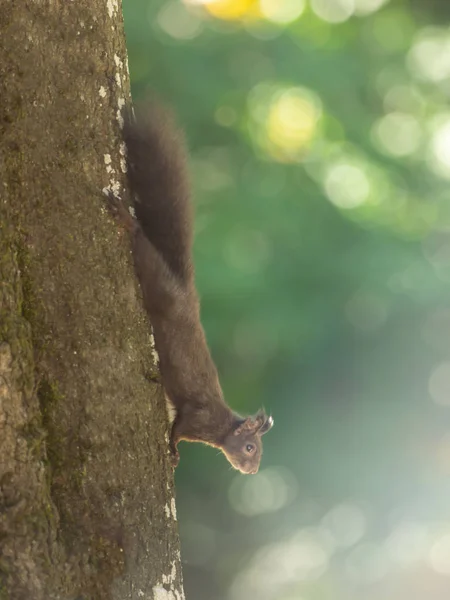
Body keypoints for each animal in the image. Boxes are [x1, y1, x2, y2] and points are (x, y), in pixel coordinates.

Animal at [105, 99, 272, 474]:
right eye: (251, 447)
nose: (253, 470)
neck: (222, 426)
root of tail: (184, 293)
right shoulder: (197, 418)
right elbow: (178, 428)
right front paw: (173, 450)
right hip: (156, 284)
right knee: (142, 246)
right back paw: (126, 221)